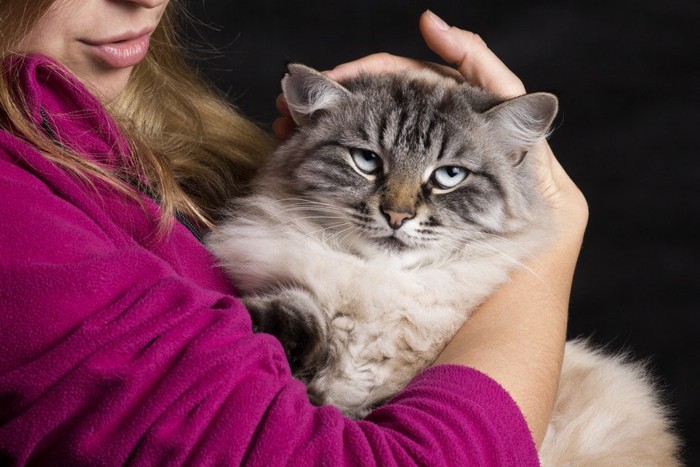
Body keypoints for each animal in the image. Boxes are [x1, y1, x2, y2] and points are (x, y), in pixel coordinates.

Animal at [206, 65, 680, 464]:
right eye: (367, 161)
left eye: (449, 176)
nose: (397, 216)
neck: (383, 285)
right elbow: (297, 311)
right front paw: (255, 325)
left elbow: (354, 402)